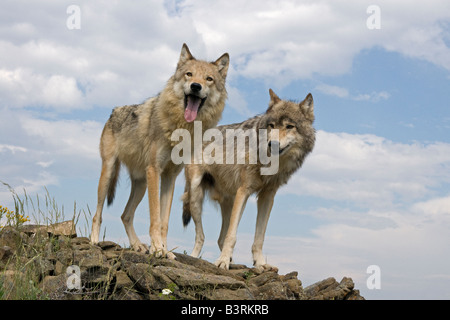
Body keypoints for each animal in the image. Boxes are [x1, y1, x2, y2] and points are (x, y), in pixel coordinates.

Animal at [92, 43, 232, 258]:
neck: (182, 127)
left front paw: (165, 251)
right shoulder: (155, 171)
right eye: (189, 74)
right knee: (97, 213)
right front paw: (157, 249)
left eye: (209, 79)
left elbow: (164, 221)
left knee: (125, 215)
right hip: (109, 174)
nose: (196, 86)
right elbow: (155, 217)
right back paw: (93, 241)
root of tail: (114, 111)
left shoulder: (169, 177)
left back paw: (138, 245)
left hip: (141, 185)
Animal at [181, 89, 314, 270]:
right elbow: (232, 235)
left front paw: (260, 263)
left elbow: (259, 237)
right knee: (200, 236)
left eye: (289, 126)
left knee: (220, 238)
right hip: (196, 196)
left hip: (228, 203)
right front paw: (222, 261)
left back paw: (231, 261)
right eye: (272, 126)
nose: (272, 144)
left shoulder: (267, 197)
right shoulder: (244, 191)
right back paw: (195, 258)